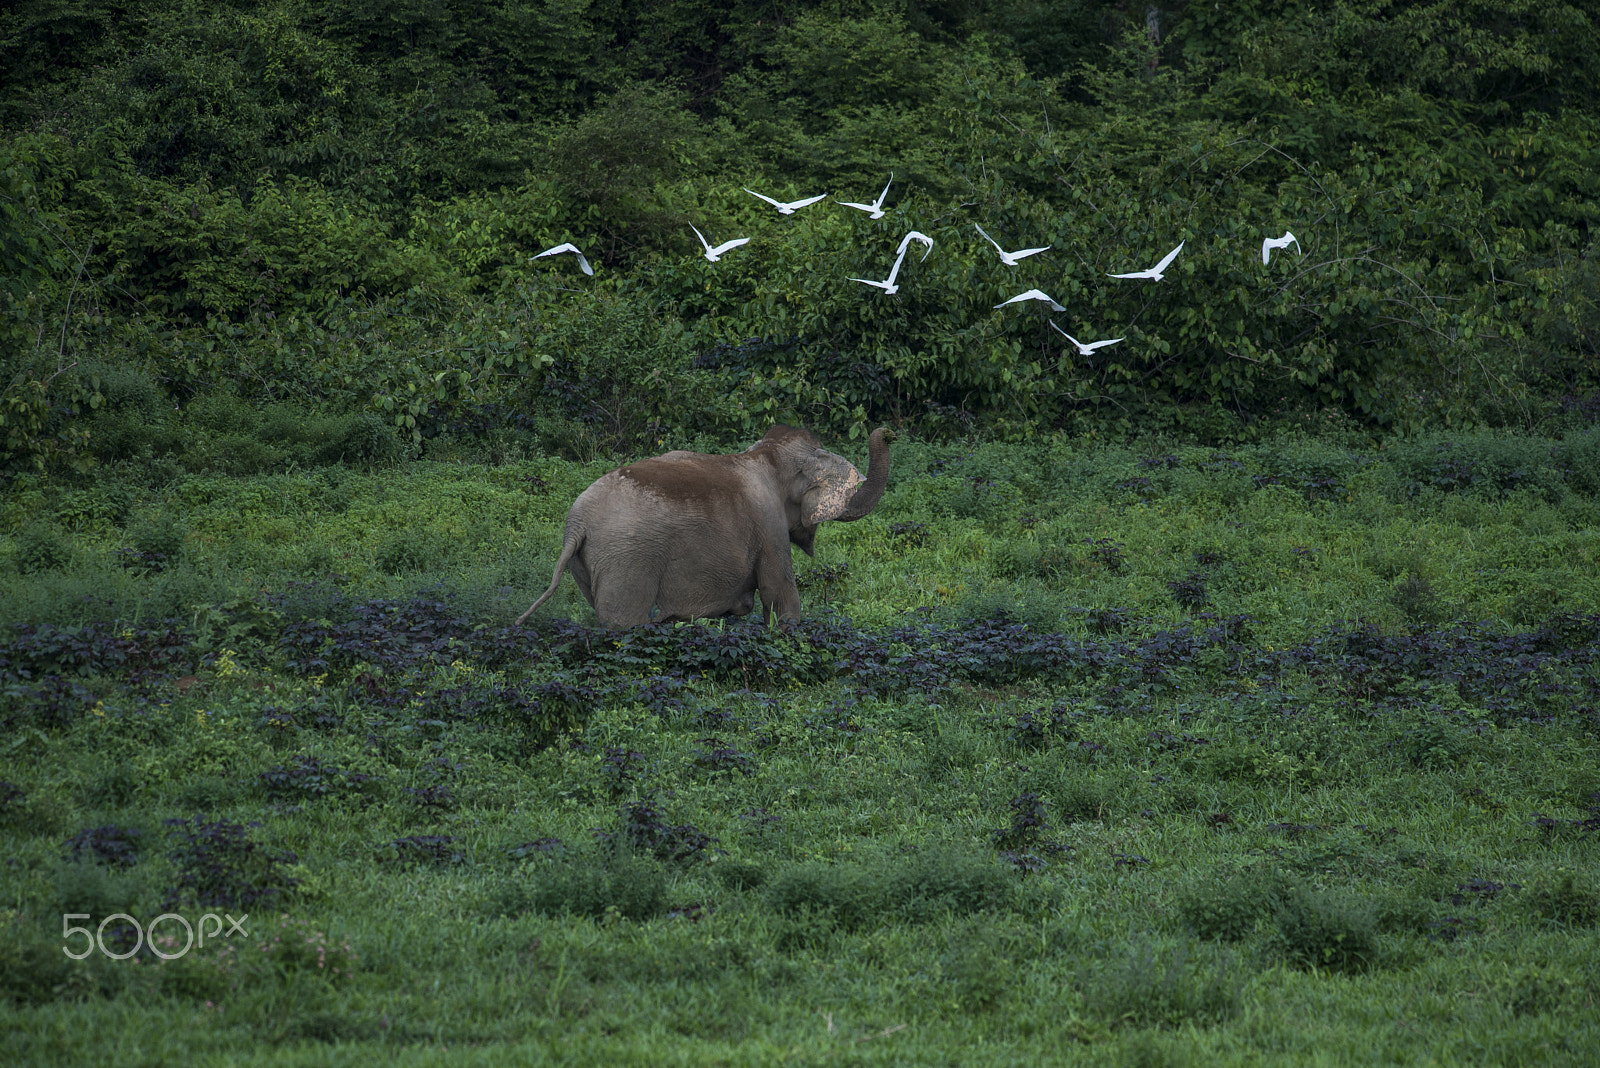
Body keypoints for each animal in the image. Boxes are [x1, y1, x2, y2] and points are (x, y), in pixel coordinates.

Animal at [515, 422, 896, 626]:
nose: (888, 432)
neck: (764, 455)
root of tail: (576, 524)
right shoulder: (768, 523)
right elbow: (780, 598)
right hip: (626, 559)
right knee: (623, 624)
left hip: (588, 562)